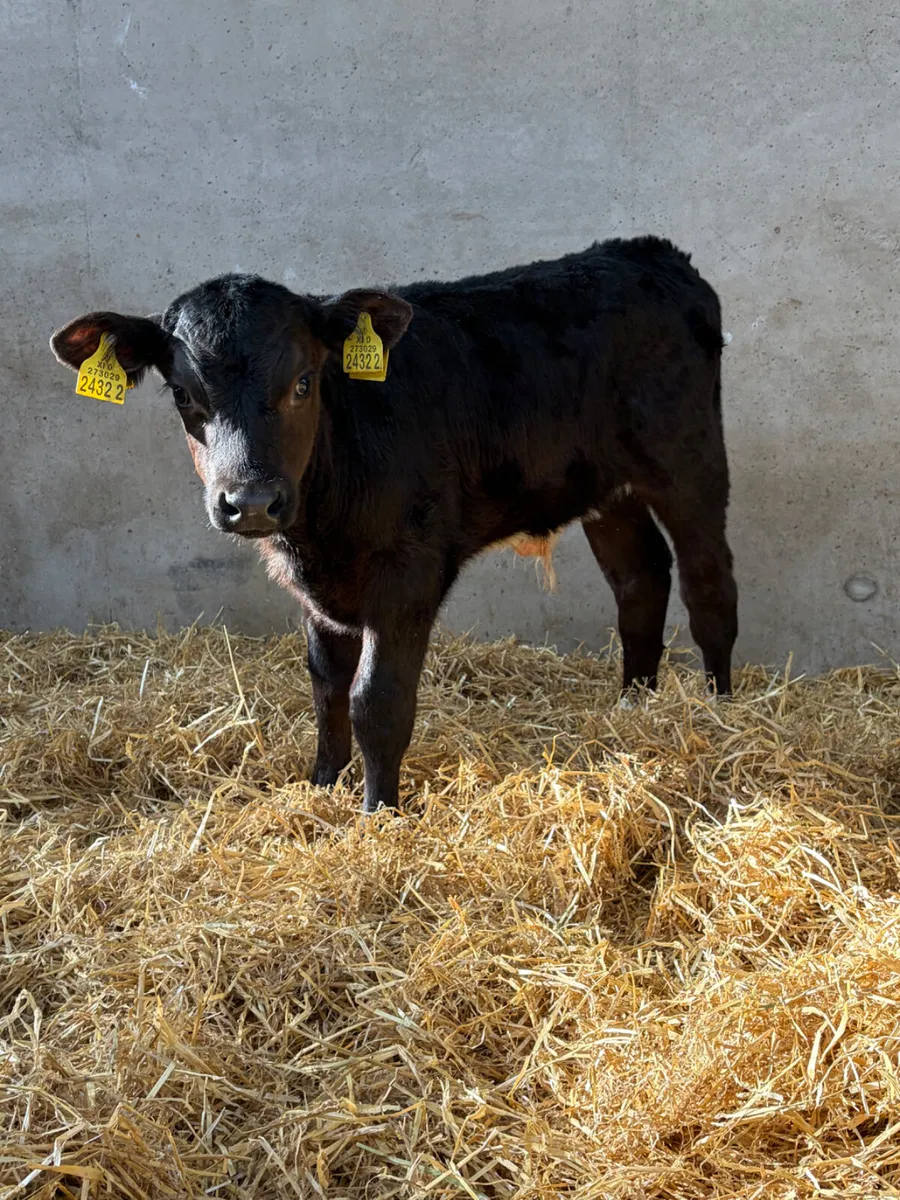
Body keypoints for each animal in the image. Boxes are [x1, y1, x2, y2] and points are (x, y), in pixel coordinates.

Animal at [50, 236, 738, 813]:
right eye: (182, 395)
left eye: (304, 382)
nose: (251, 501)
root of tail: (648, 252)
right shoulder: (322, 591)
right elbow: (326, 687)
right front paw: (321, 786)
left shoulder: (409, 573)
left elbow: (376, 700)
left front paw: (378, 813)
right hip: (606, 489)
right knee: (641, 580)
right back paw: (635, 705)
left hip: (692, 461)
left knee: (709, 586)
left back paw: (721, 710)